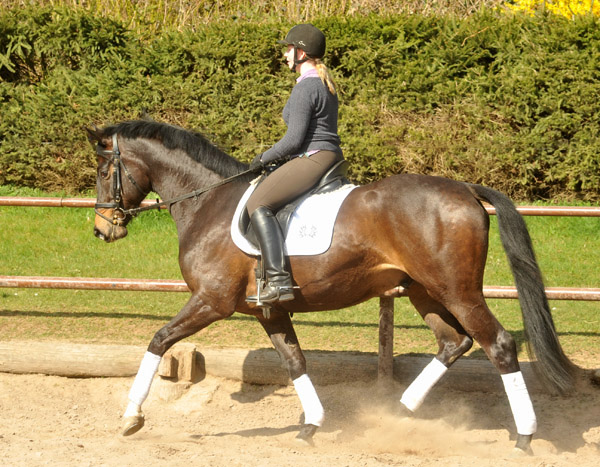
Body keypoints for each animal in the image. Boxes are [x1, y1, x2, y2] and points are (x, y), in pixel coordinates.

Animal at [86, 119, 580, 456]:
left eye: (103, 170)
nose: (102, 229)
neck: (209, 201)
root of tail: (463, 189)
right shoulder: (268, 310)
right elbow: (295, 361)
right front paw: (312, 425)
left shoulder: (211, 301)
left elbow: (158, 340)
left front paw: (131, 417)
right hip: (424, 290)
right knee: (454, 342)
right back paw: (396, 414)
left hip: (458, 290)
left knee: (497, 345)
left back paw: (524, 437)